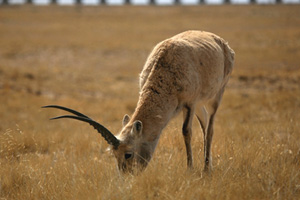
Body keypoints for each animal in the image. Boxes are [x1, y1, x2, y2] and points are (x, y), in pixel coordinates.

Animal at [44, 30, 234, 173]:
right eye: (114, 154)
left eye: (128, 154)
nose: (127, 176)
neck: (167, 67)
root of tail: (222, 43)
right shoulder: (189, 104)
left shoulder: (190, 103)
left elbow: (186, 131)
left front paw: (189, 169)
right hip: (201, 105)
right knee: (205, 123)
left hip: (216, 96)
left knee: (210, 127)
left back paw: (207, 169)